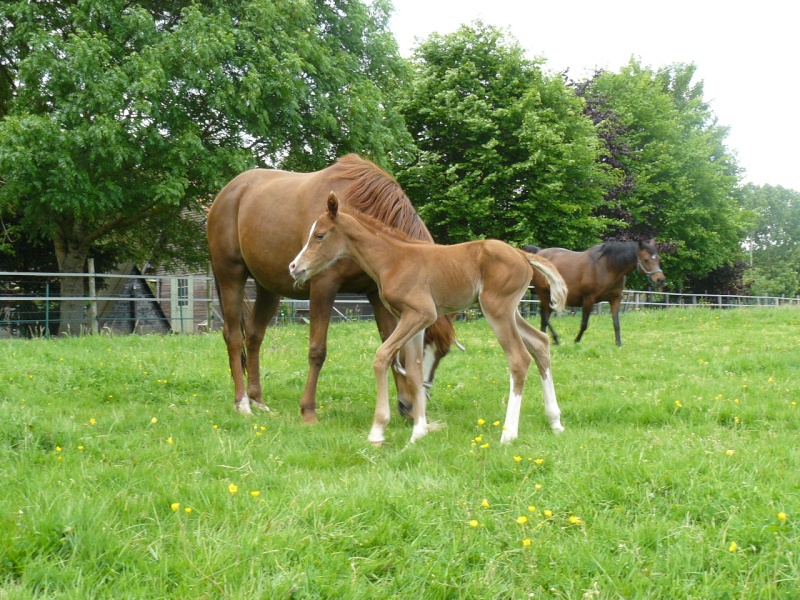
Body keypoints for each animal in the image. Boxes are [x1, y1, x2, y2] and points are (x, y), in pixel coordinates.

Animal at [206, 155, 456, 422]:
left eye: (442, 354)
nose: (415, 403)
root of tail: (226, 194)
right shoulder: (323, 286)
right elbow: (317, 350)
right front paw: (308, 410)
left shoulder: (377, 295)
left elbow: (389, 343)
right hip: (231, 276)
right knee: (234, 337)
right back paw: (242, 402)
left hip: (268, 286)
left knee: (253, 335)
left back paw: (257, 399)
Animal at [288, 192, 568, 446]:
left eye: (320, 235)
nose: (294, 267)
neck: (392, 260)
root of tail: (522, 255)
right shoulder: (414, 320)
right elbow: (414, 369)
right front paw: (418, 431)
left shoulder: (421, 313)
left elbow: (382, 356)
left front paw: (378, 429)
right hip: (509, 311)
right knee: (540, 343)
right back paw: (555, 421)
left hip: (497, 309)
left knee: (518, 358)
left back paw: (508, 434)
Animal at [528, 240, 664, 346]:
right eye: (646, 259)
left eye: (658, 259)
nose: (661, 280)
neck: (608, 267)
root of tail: (539, 253)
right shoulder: (589, 299)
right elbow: (584, 324)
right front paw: (576, 341)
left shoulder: (615, 299)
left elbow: (616, 323)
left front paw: (618, 344)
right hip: (544, 295)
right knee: (544, 317)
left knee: (545, 317)